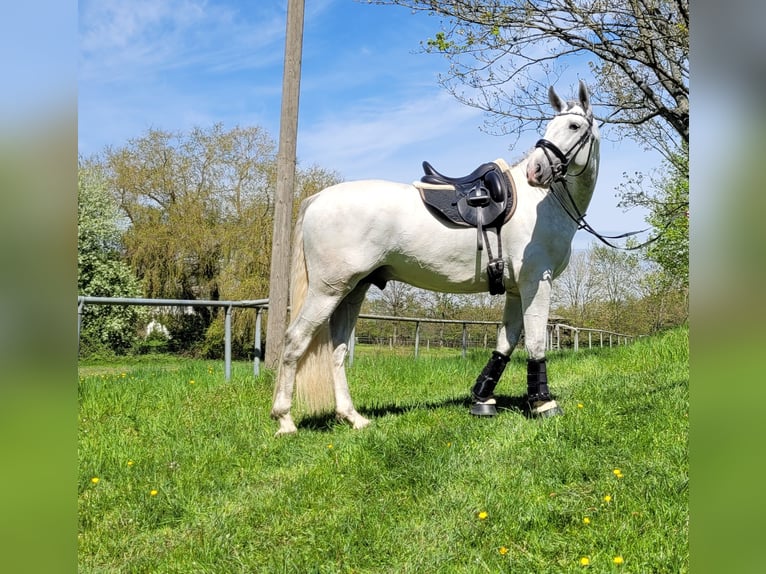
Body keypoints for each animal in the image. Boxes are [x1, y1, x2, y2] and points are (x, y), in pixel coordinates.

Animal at [272, 82, 604, 436]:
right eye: (551, 126)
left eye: (573, 126)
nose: (535, 171)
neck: (541, 202)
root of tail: (318, 198)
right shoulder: (536, 282)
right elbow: (536, 342)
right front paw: (543, 403)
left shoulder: (516, 290)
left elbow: (505, 343)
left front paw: (483, 399)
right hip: (327, 291)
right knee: (294, 341)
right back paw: (285, 420)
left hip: (352, 291)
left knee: (337, 350)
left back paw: (352, 417)